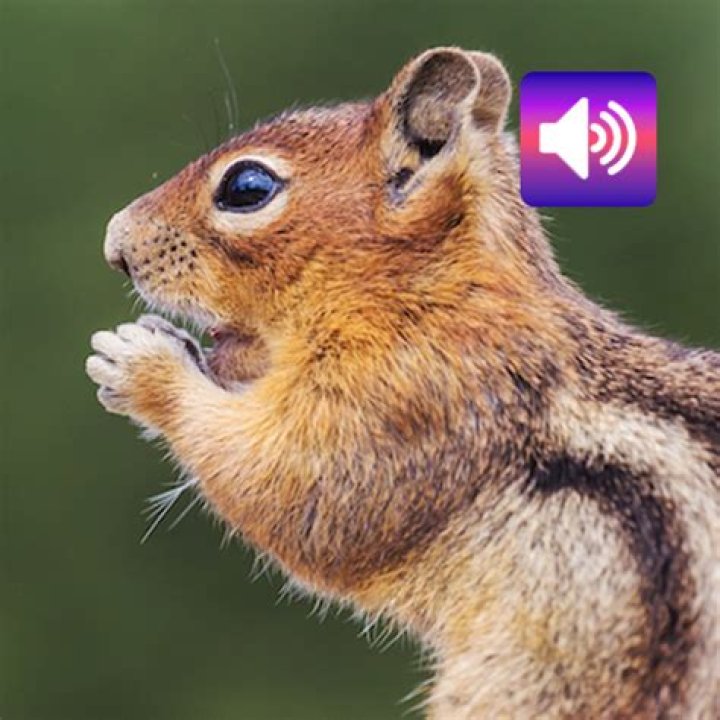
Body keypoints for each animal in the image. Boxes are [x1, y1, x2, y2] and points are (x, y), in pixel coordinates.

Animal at [86, 47, 719, 718]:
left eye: (247, 188)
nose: (114, 244)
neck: (437, 297)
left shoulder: (408, 399)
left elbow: (293, 490)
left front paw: (139, 363)